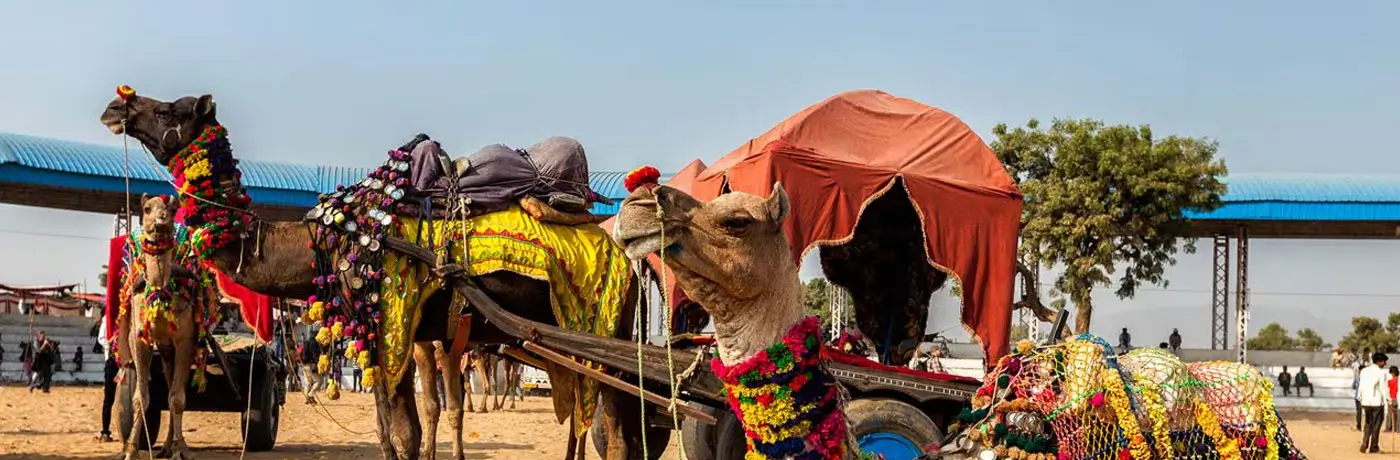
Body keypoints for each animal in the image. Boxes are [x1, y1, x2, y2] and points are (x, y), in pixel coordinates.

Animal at [119, 195, 201, 460]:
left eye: (172, 209)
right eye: (147, 209)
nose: (162, 219)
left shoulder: (186, 340)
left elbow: (177, 399)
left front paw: (180, 449)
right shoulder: (138, 339)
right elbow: (140, 398)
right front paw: (131, 449)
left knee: (176, 389)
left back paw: (174, 445)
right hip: (165, 350)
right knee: (167, 379)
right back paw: (165, 445)